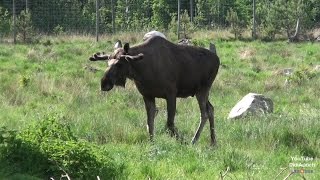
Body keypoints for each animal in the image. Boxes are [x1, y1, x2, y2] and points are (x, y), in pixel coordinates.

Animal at [89, 36, 220, 145]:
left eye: (119, 64)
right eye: (107, 62)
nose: (104, 83)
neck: (140, 71)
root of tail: (217, 59)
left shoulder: (171, 93)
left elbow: (169, 124)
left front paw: (183, 142)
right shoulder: (147, 95)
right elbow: (150, 123)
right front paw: (152, 144)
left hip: (202, 89)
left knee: (204, 113)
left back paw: (194, 140)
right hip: (201, 92)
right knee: (211, 109)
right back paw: (213, 141)